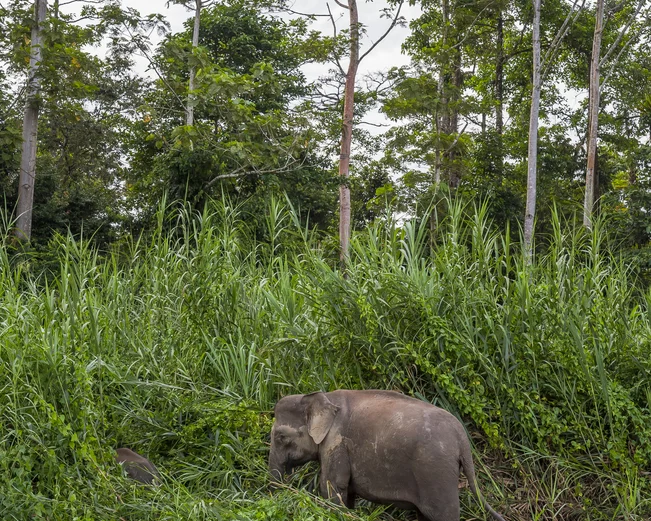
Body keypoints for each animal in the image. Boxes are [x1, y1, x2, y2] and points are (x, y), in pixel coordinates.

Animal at [269, 390, 505, 521]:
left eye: (280, 437)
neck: (324, 397)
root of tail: (462, 438)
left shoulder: (336, 442)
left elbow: (331, 488)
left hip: (436, 470)